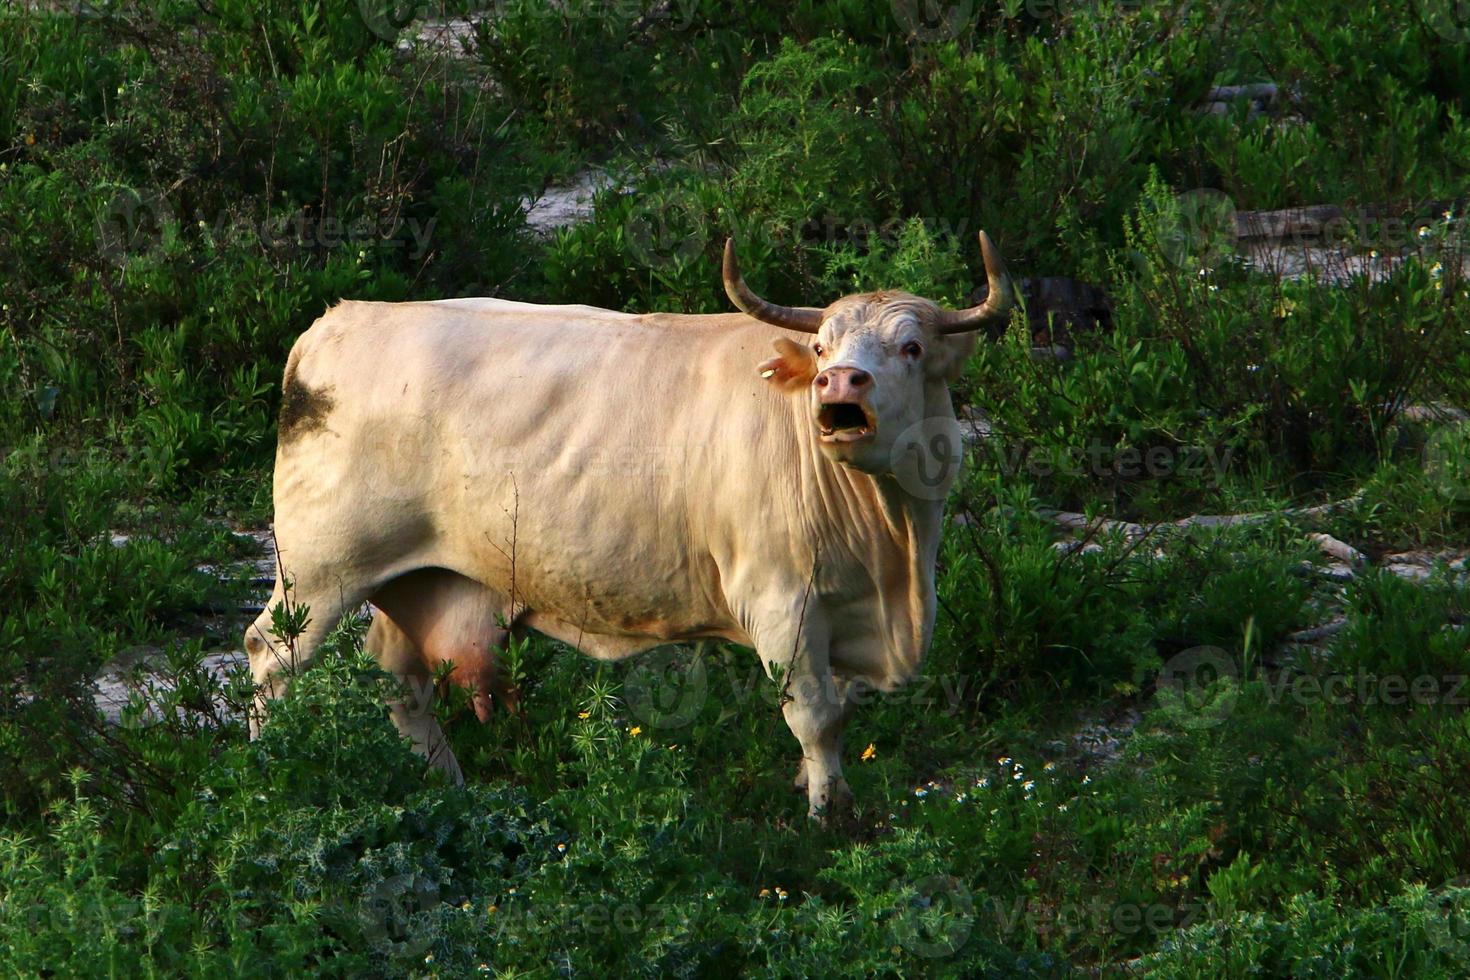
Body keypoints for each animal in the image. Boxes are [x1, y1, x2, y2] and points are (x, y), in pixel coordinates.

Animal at [246, 233, 1017, 816]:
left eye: (912, 348)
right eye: (824, 349)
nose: (839, 384)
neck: (892, 564)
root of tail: (338, 320)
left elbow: (838, 712)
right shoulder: (780, 602)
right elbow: (815, 715)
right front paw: (828, 815)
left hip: (422, 577)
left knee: (402, 684)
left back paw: (446, 789)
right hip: (319, 569)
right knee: (271, 658)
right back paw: (265, 774)